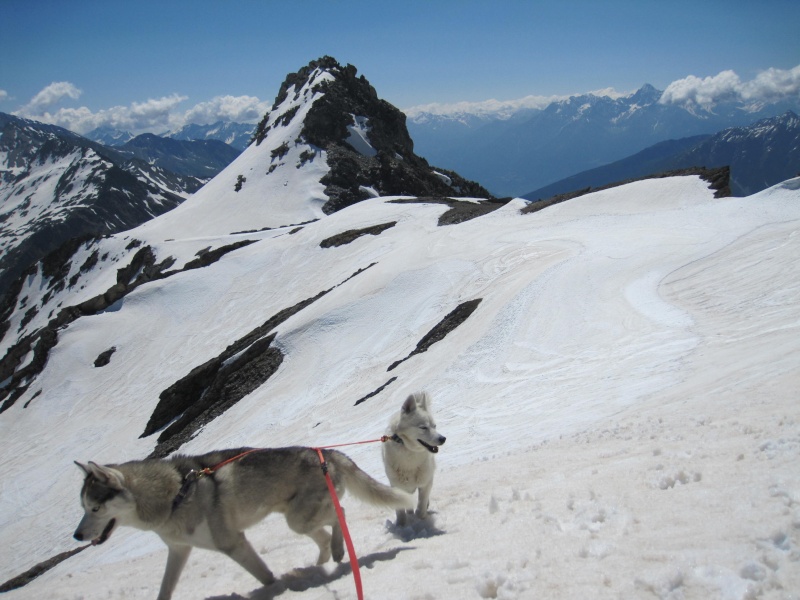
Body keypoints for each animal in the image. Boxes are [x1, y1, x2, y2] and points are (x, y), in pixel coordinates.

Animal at [73, 448, 412, 600]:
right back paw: (319, 565)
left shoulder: (232, 543)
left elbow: (264, 576)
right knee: (324, 536)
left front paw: (275, 590)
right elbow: (164, 590)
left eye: (95, 507)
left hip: (299, 517)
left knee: (339, 513)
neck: (175, 496)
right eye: (83, 507)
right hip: (296, 521)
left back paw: (338, 552)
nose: (76, 535)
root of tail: (325, 452)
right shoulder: (179, 551)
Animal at [382, 392, 446, 524]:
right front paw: (402, 525)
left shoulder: (426, 483)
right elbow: (401, 511)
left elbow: (421, 507)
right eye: (423, 427)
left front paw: (421, 517)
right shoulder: (397, 486)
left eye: (434, 426)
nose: (443, 439)